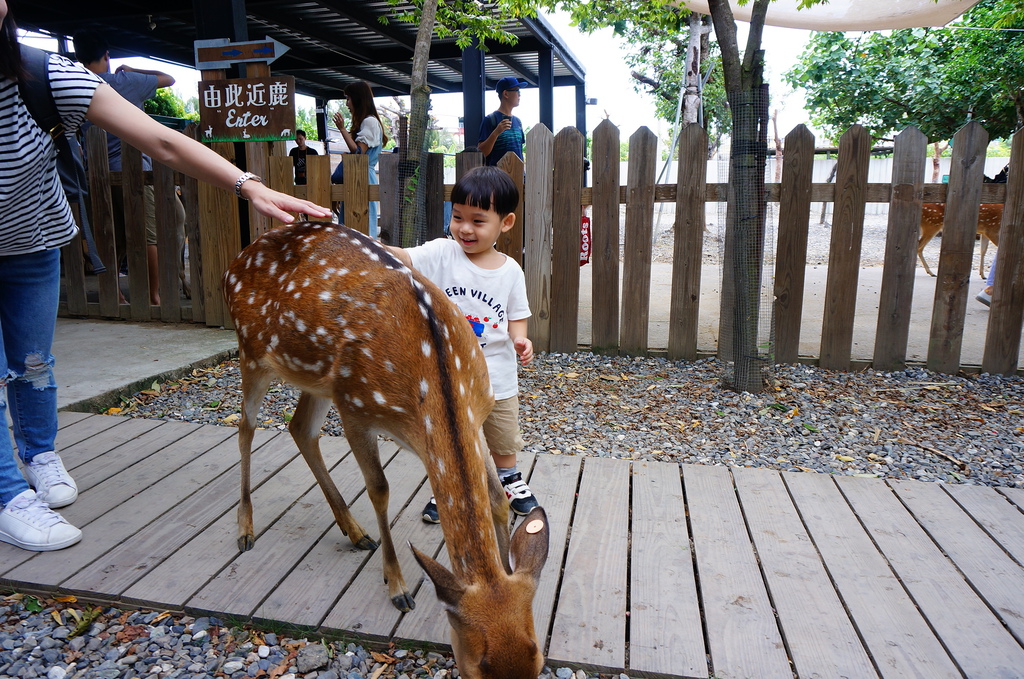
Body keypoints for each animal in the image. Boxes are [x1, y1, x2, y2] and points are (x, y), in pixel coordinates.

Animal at [221, 223, 548, 679]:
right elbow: (379, 489)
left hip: (318, 379)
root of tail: (234, 261)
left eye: (538, 658)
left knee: (299, 428)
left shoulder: (476, 411)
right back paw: (246, 528)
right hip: (252, 351)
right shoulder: (356, 408)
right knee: (246, 428)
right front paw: (398, 587)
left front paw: (503, 560)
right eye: (476, 667)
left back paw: (355, 531)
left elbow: (497, 498)